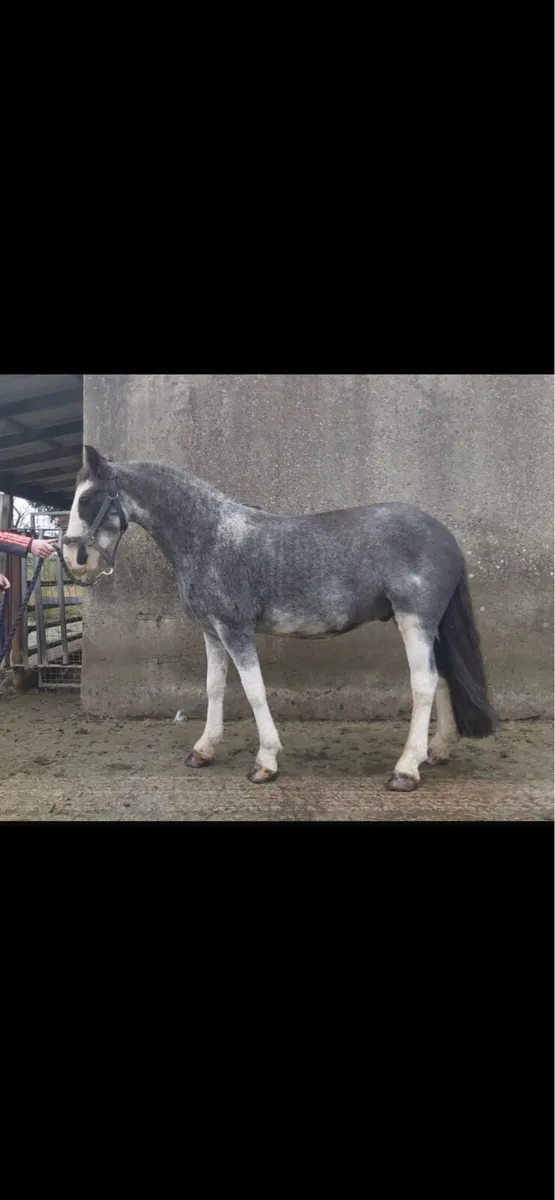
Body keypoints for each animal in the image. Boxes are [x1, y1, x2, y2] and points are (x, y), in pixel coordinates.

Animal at [63, 446, 497, 790]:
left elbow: (254, 689)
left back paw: (406, 770)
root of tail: (444, 536)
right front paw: (203, 750)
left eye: (88, 498)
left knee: (424, 684)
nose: (71, 558)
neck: (209, 537)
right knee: (443, 677)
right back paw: (437, 750)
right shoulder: (212, 632)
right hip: (428, 627)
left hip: (414, 621)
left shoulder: (236, 630)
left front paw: (266, 762)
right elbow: (214, 688)